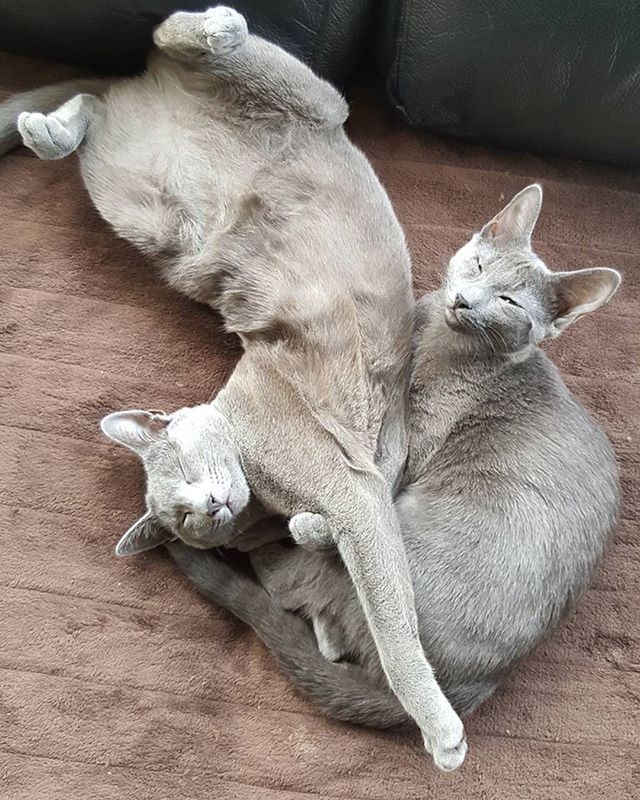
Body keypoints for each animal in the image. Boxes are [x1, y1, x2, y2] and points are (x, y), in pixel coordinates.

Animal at [0, 4, 464, 768]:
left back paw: (213, 29)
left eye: (185, 471)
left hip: (306, 104)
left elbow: (390, 624)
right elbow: (327, 538)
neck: (258, 484)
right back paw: (53, 127)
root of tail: (149, 90)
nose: (211, 505)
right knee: (97, 104)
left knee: (173, 42)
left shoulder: (353, 490)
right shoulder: (359, 492)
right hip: (139, 205)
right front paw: (304, 531)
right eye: (185, 521)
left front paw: (439, 728)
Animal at [169, 186, 620, 720]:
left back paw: (272, 540)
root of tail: (468, 687)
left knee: (295, 585)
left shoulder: (413, 442)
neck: (441, 342)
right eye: (478, 266)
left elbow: (373, 476)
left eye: (509, 301)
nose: (465, 299)